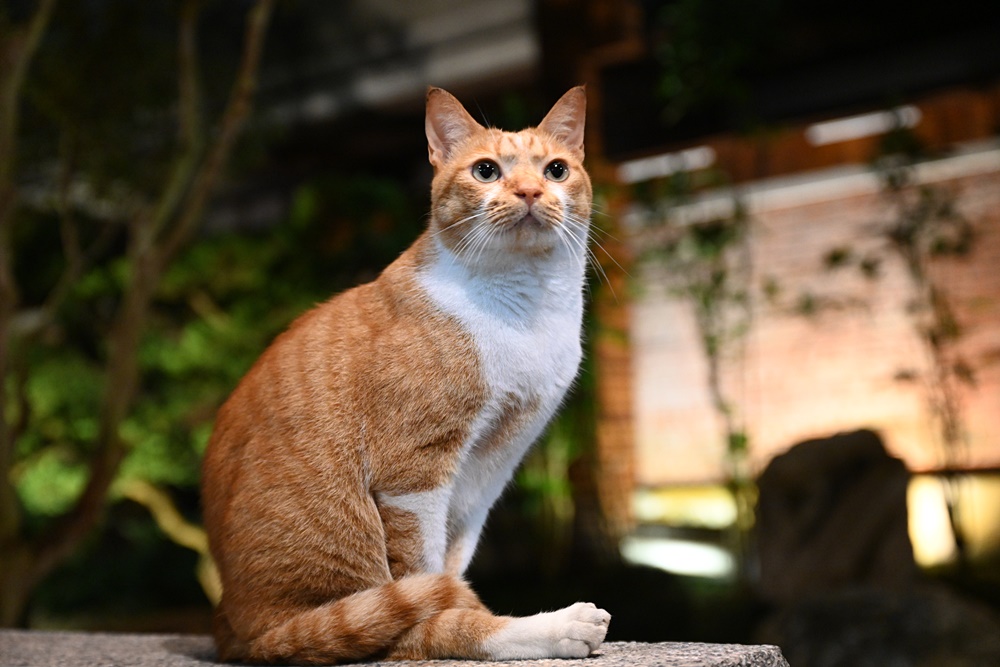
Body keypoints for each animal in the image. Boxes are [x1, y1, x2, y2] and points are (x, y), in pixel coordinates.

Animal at [201, 86, 608, 664]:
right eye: (486, 171)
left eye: (555, 170)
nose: (530, 190)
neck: (525, 311)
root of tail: (232, 626)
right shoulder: (413, 473)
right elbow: (427, 586)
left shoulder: (486, 475)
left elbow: (451, 563)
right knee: (399, 627)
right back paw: (559, 626)